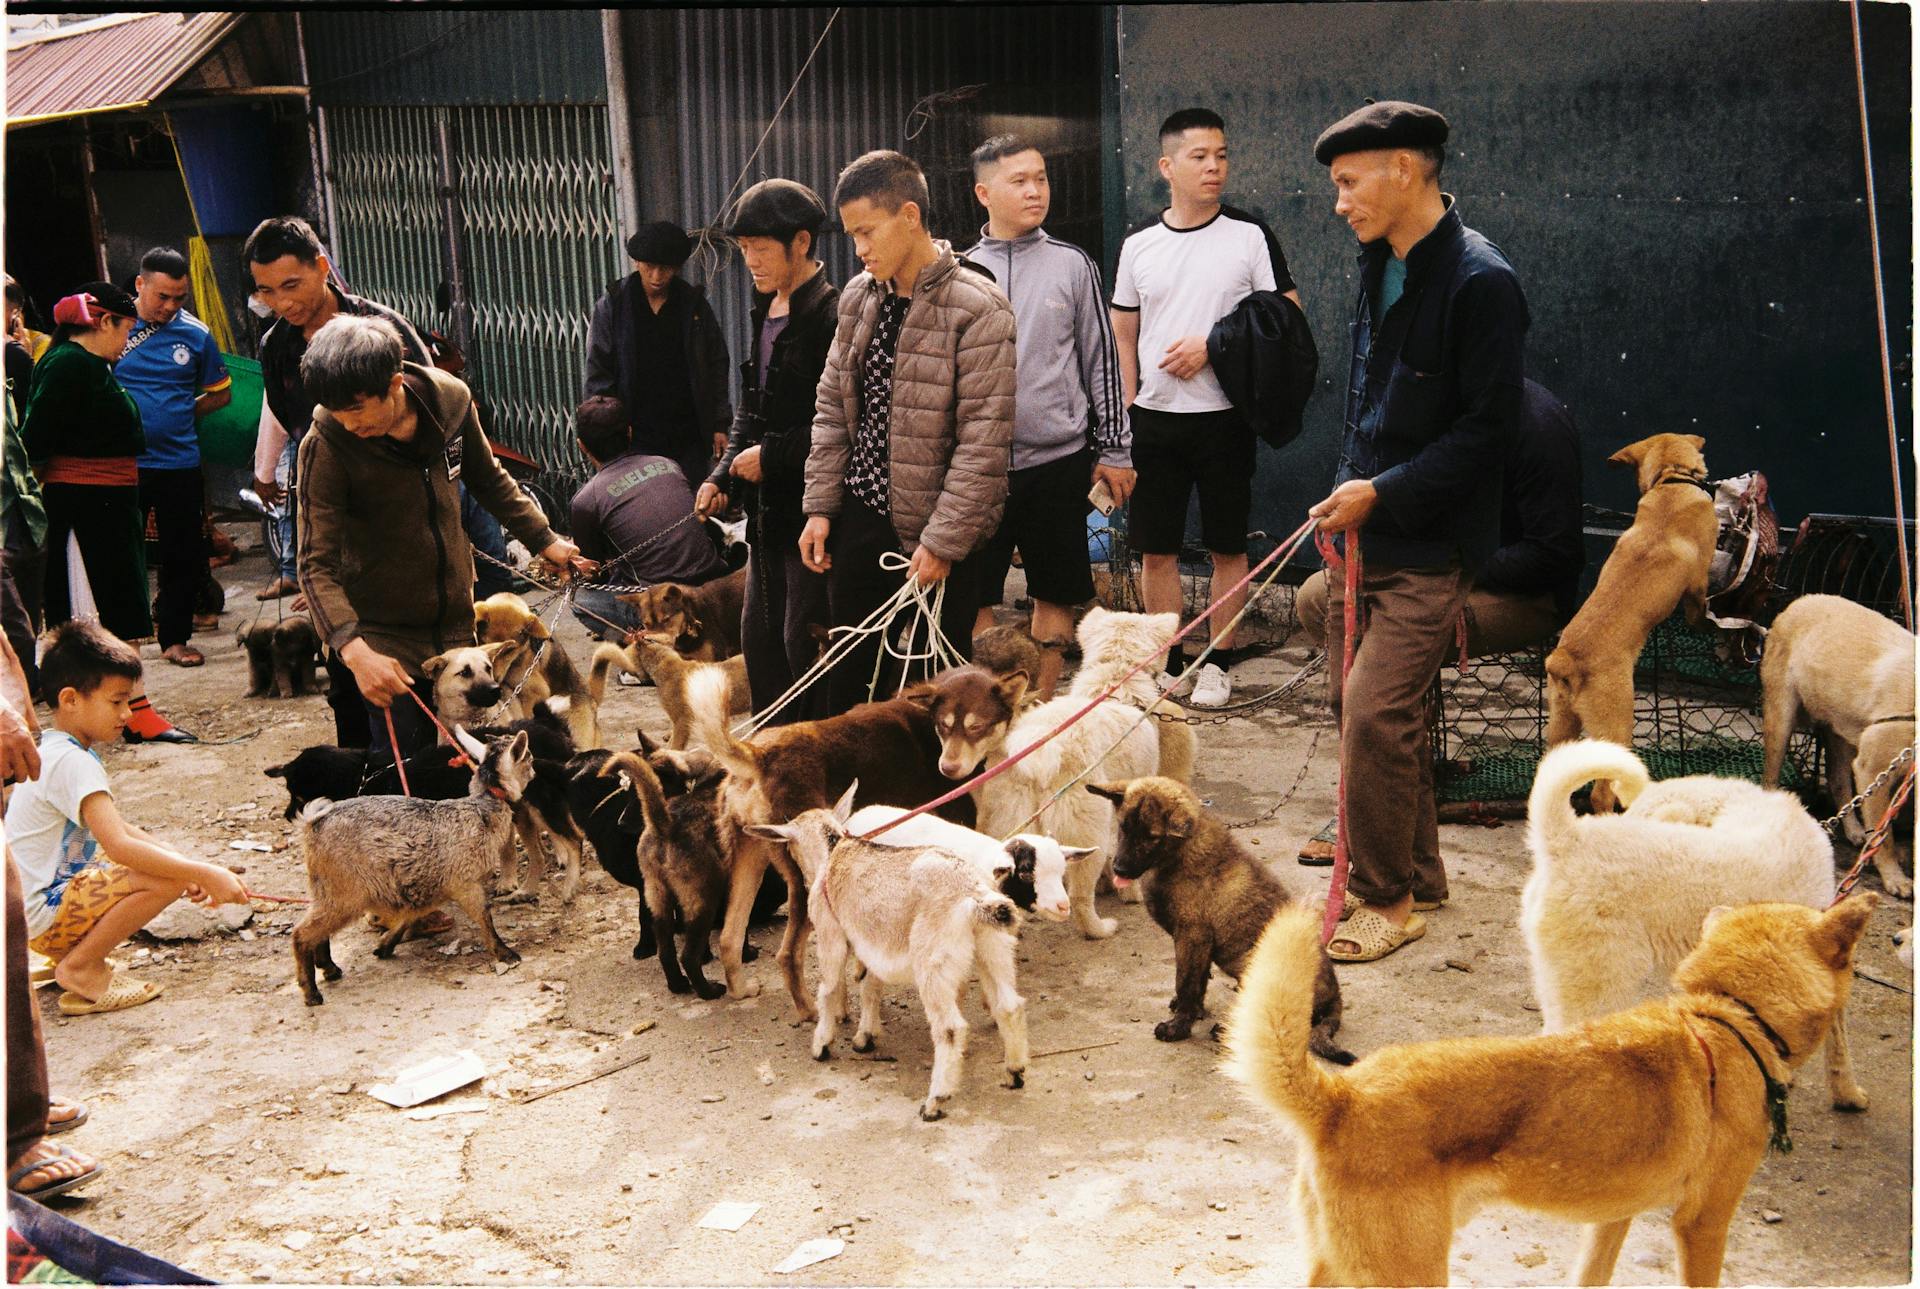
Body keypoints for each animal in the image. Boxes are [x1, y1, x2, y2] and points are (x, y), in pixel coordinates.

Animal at [289, 726, 533, 1006]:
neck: (482, 812)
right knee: (301, 933)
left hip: (327, 889)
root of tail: (312, 824)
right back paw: (311, 991)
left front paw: (385, 946)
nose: (535, 772)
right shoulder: (465, 882)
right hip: (343, 891)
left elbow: (410, 915)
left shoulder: (429, 883)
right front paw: (505, 953)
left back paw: (329, 968)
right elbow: (485, 917)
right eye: (529, 758)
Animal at [975, 610, 1182, 941]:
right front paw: (1130, 892)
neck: (1113, 684)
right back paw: (1100, 929)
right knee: (1080, 898)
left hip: (1005, 821)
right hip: (1087, 827)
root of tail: (1041, 751)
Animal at [1536, 437, 1720, 810]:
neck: (1671, 482)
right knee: (1602, 792)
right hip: (1618, 725)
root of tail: (1566, 660)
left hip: (1561, 723)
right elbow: (1699, 611)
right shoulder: (1697, 586)